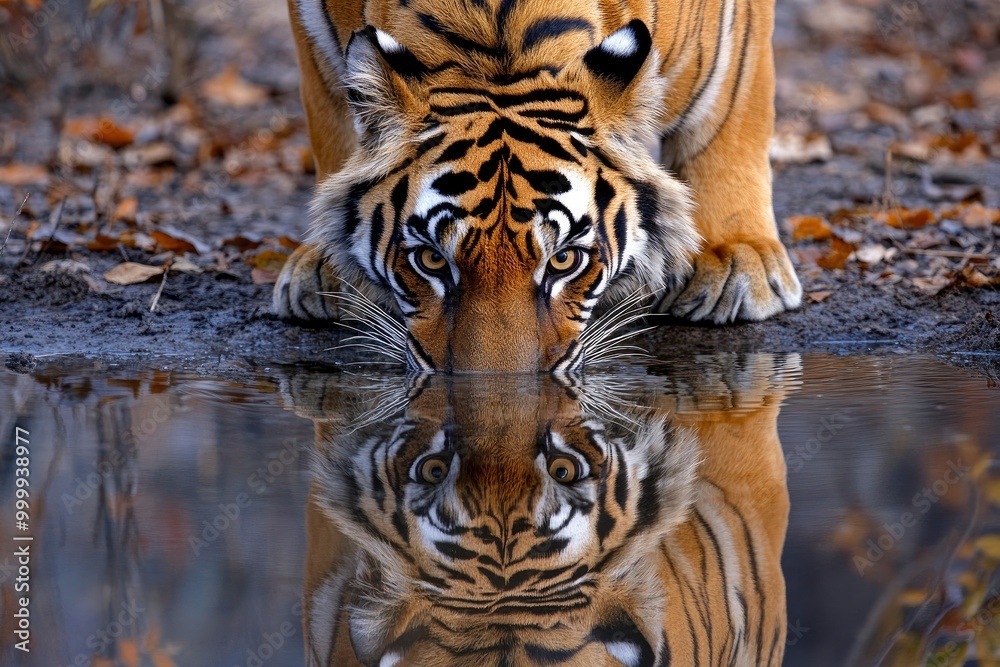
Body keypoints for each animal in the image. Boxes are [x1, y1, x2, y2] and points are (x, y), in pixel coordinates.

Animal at [272, 0, 802, 372]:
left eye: (564, 260)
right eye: (430, 260)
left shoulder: (733, 44)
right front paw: (328, 264)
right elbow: (333, 124)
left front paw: (735, 259)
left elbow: (730, 121)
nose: (493, 388)